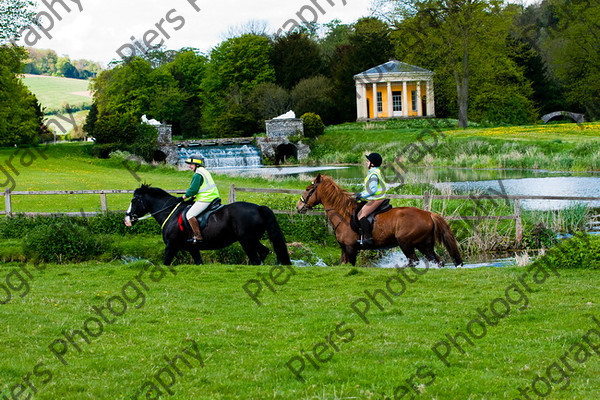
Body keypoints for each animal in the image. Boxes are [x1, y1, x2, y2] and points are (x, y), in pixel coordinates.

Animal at [123, 184, 292, 266]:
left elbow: (165, 263)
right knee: (263, 252)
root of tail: (258, 208)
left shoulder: (171, 246)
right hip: (252, 239)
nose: (127, 219)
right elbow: (199, 262)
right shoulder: (193, 249)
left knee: (256, 259)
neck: (170, 212)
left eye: (134, 200)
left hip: (246, 240)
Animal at [296, 173, 464, 268]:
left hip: (406, 243)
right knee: (437, 261)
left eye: (308, 189)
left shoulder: (351, 248)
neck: (343, 214)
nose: (298, 207)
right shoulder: (344, 249)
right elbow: (343, 264)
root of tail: (428, 214)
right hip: (424, 245)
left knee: (414, 261)